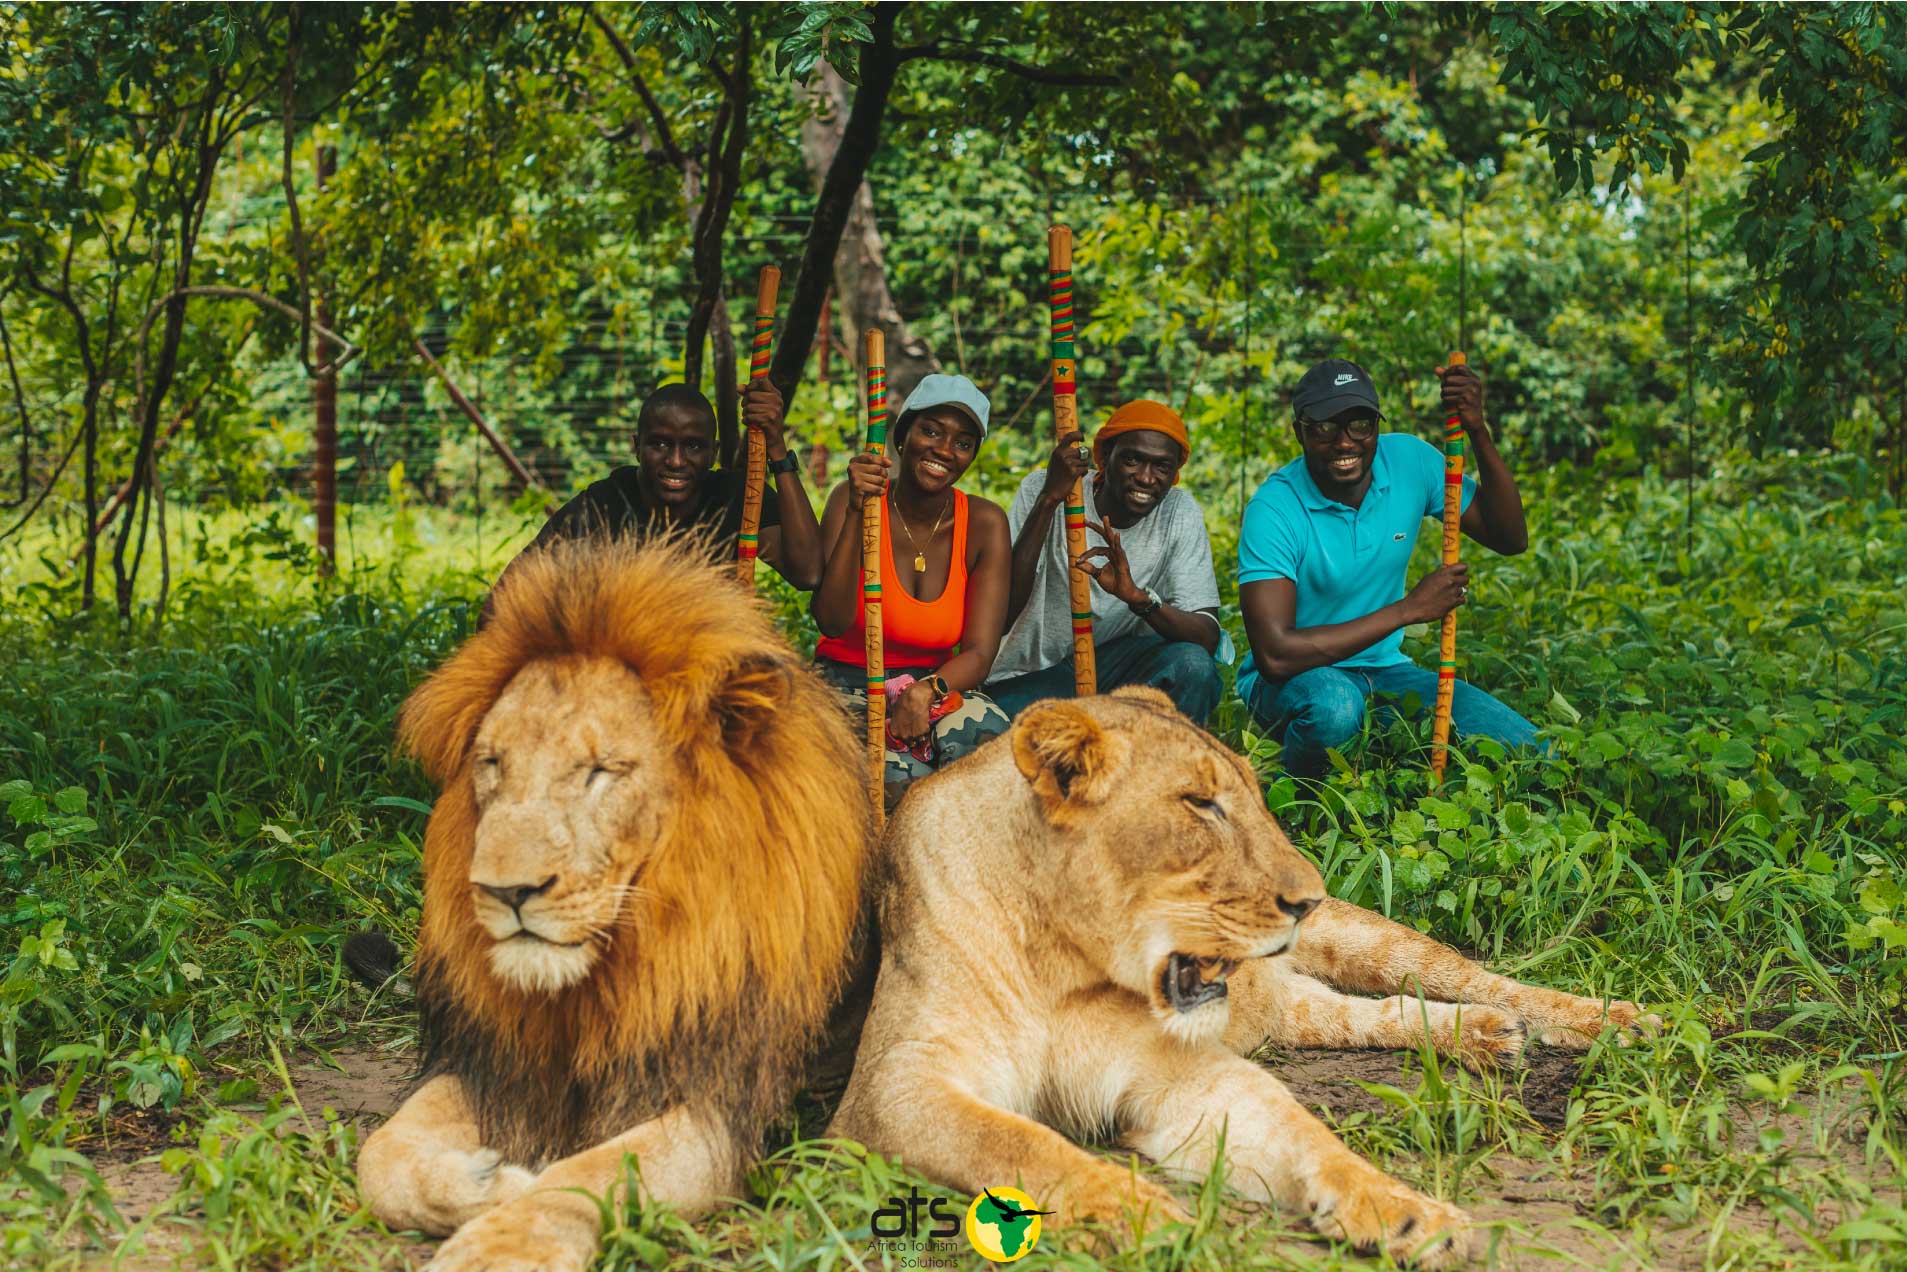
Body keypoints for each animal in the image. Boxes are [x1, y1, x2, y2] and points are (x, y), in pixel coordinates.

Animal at [357, 537, 872, 1272]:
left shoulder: (713, 1104)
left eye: (600, 772)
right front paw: (488, 1180)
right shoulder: (498, 1062)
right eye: (492, 764)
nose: (505, 891)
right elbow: (379, 1153)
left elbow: (583, 1175)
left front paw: (497, 1240)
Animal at [830, 686, 1648, 1268]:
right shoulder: (890, 1089)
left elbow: (1304, 1134)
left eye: (1253, 796)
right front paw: (1146, 1220)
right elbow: (1020, 1145)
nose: (1308, 897)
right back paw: (1484, 1039)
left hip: (1377, 943)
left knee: (1475, 978)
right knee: (1378, 1016)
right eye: (1200, 804)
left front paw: (1405, 1212)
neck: (1059, 959)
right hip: (1301, 1010)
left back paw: (1609, 1022)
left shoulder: (1175, 1072)